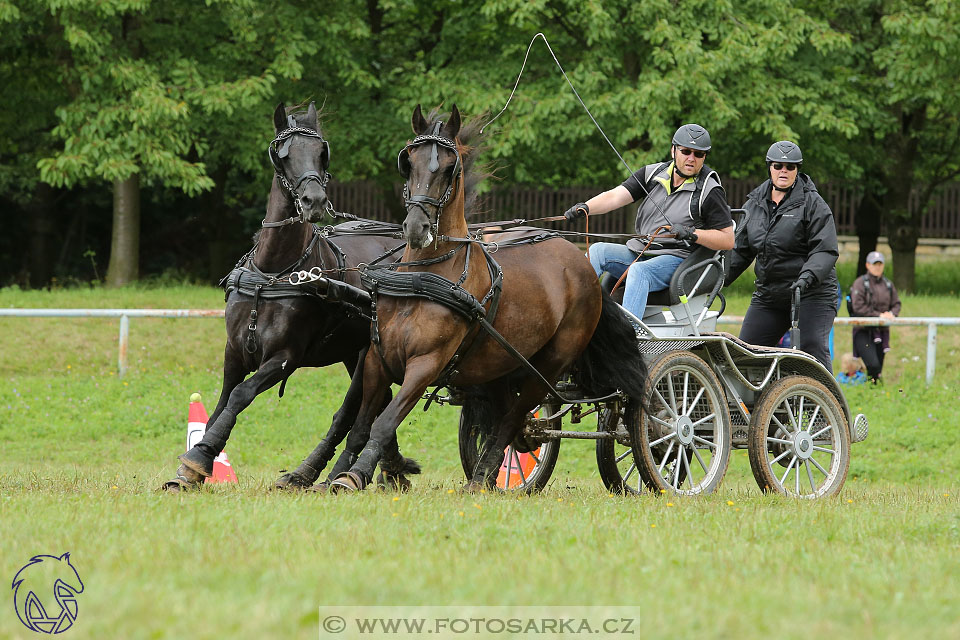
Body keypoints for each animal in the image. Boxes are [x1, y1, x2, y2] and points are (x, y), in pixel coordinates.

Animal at [164, 101, 412, 490]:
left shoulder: (285, 356)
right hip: (353, 352)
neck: (273, 272)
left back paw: (332, 472)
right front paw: (193, 466)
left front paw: (201, 456)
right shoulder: (234, 351)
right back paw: (387, 468)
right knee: (377, 402)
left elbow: (240, 395)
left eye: (322, 153)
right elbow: (221, 401)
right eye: (282, 154)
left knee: (358, 408)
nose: (314, 200)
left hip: (368, 351)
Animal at [326, 105, 648, 490]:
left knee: (514, 418)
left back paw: (484, 474)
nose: (416, 228)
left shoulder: (426, 364)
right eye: (408, 161)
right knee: (508, 418)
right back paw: (491, 472)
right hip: (500, 363)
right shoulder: (379, 359)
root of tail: (580, 261)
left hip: (548, 366)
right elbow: (361, 425)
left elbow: (384, 422)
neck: (424, 277)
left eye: (451, 167)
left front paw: (355, 475)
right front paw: (338, 475)